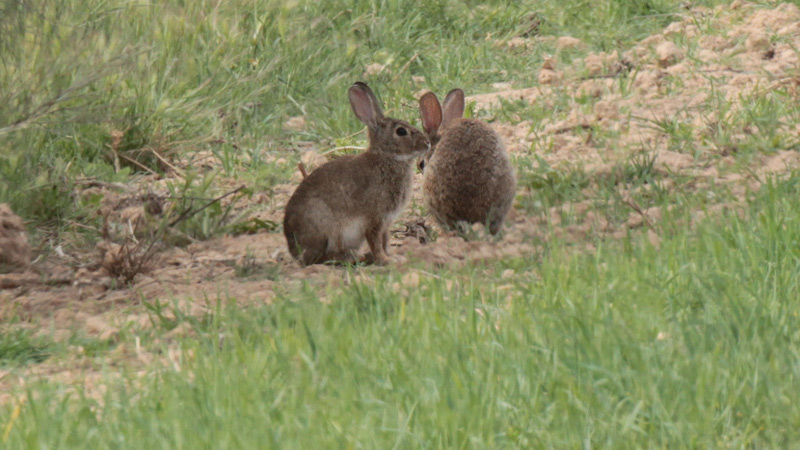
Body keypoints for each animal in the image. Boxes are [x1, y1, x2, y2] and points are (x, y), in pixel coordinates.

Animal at [282, 82, 428, 266]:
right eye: (401, 131)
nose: (427, 144)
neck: (386, 157)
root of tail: (293, 248)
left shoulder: (386, 222)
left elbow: (385, 240)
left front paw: (392, 256)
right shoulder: (374, 218)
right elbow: (375, 241)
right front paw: (385, 260)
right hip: (323, 226)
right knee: (318, 258)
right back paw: (354, 258)